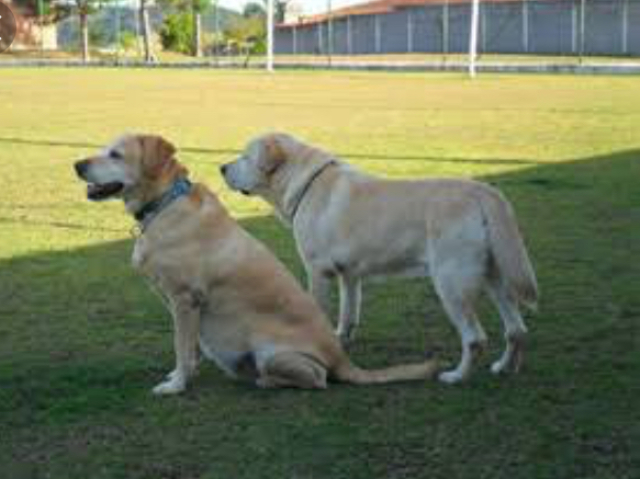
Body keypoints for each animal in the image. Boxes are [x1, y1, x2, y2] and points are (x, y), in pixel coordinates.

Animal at [72, 134, 438, 394]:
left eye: (116, 154)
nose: (77, 164)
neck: (163, 205)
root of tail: (343, 359)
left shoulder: (185, 299)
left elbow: (181, 347)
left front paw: (176, 385)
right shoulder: (177, 304)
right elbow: (188, 348)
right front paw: (181, 374)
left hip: (275, 353)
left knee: (318, 378)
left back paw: (263, 379)